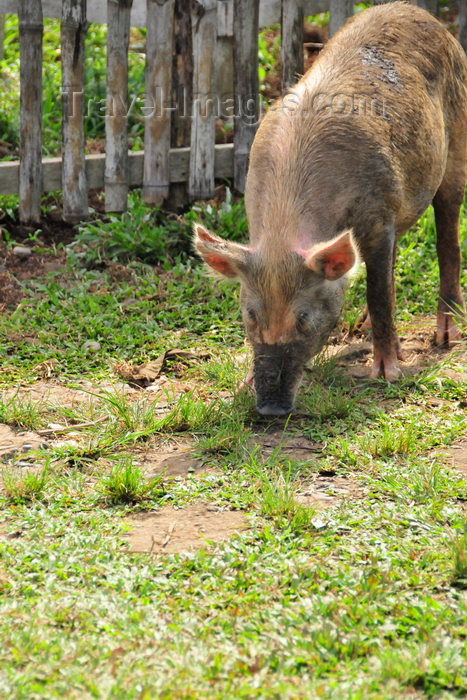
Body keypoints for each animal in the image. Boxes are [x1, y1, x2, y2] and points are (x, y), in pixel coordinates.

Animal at [194, 4, 467, 416]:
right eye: (251, 315)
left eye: (303, 317)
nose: (270, 410)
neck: (285, 232)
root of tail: (417, 12)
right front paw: (244, 384)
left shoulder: (378, 218)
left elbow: (379, 293)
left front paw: (386, 374)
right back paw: (365, 326)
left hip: (456, 148)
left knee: (447, 238)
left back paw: (446, 336)